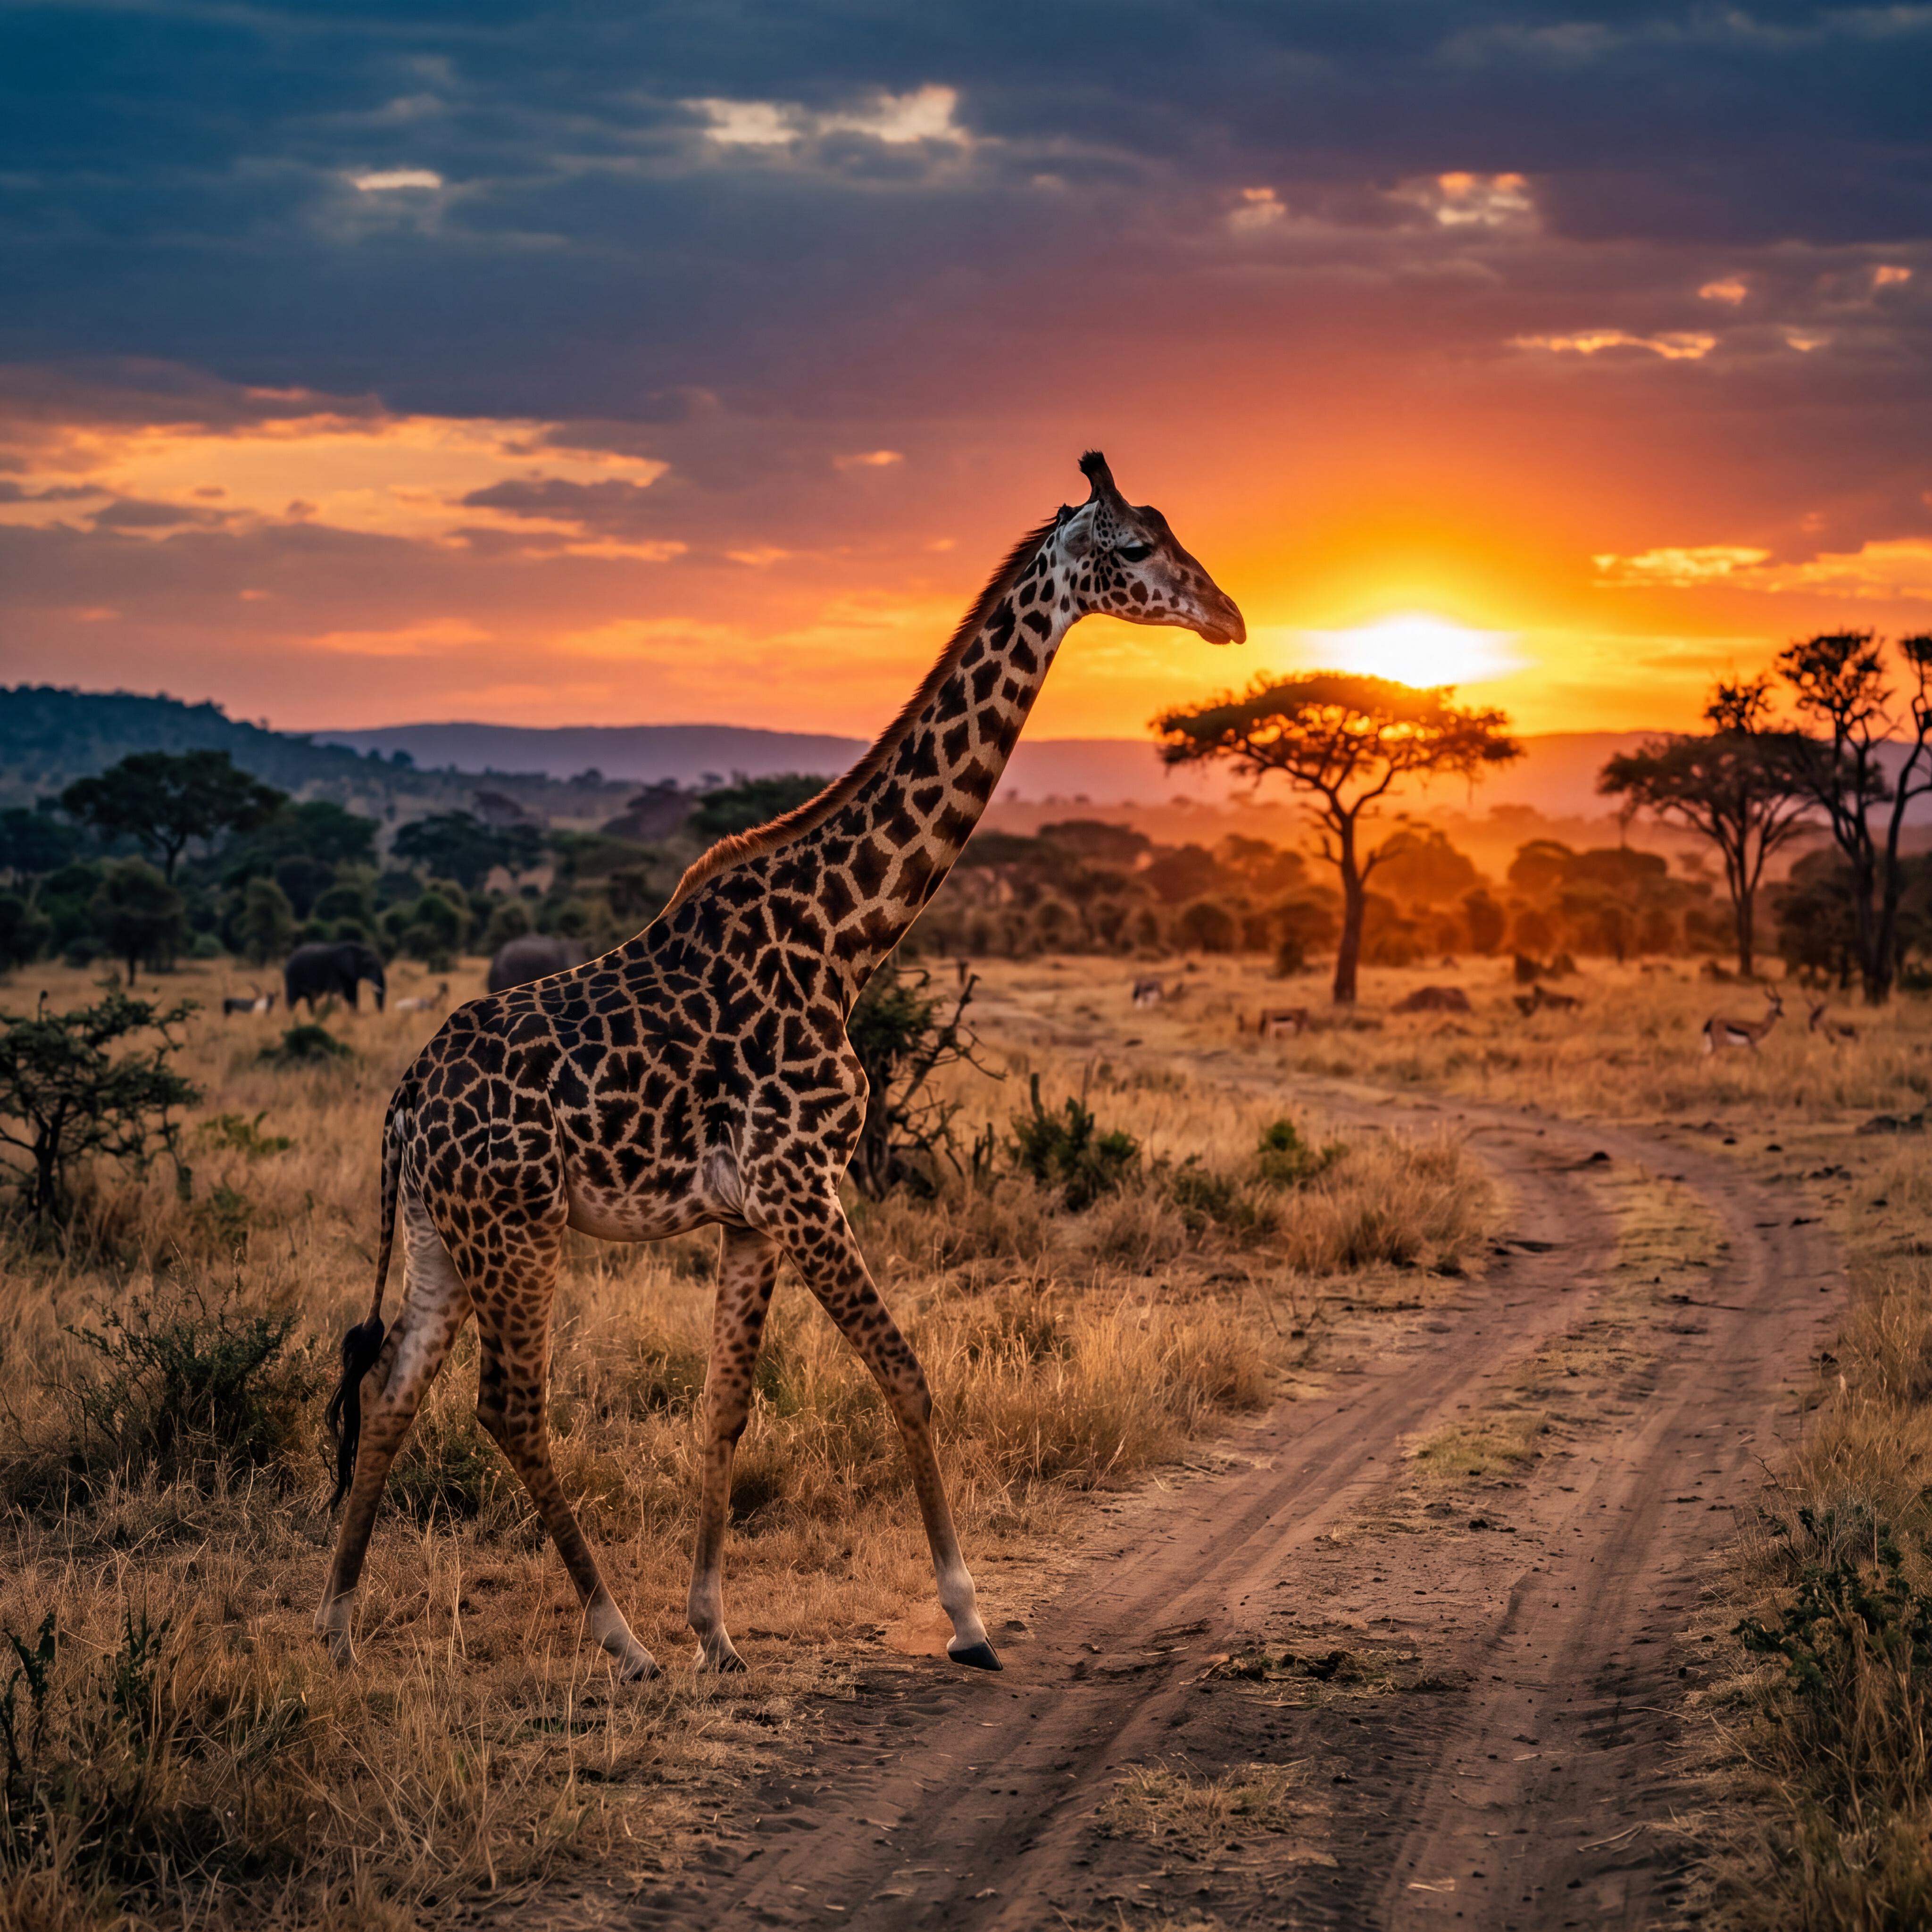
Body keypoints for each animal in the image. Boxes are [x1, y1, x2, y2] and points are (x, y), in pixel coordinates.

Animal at [316, 452, 1245, 1681]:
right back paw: (618, 1639)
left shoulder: (752, 1214)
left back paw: (336, 1624)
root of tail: (403, 1106)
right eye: (1136, 547)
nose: (1230, 617)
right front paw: (967, 1617)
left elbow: (724, 1408)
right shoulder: (806, 1185)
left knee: (390, 1388)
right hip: (519, 1227)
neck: (844, 937)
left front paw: (715, 1627)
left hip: (441, 1233)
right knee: (508, 1406)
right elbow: (905, 1374)